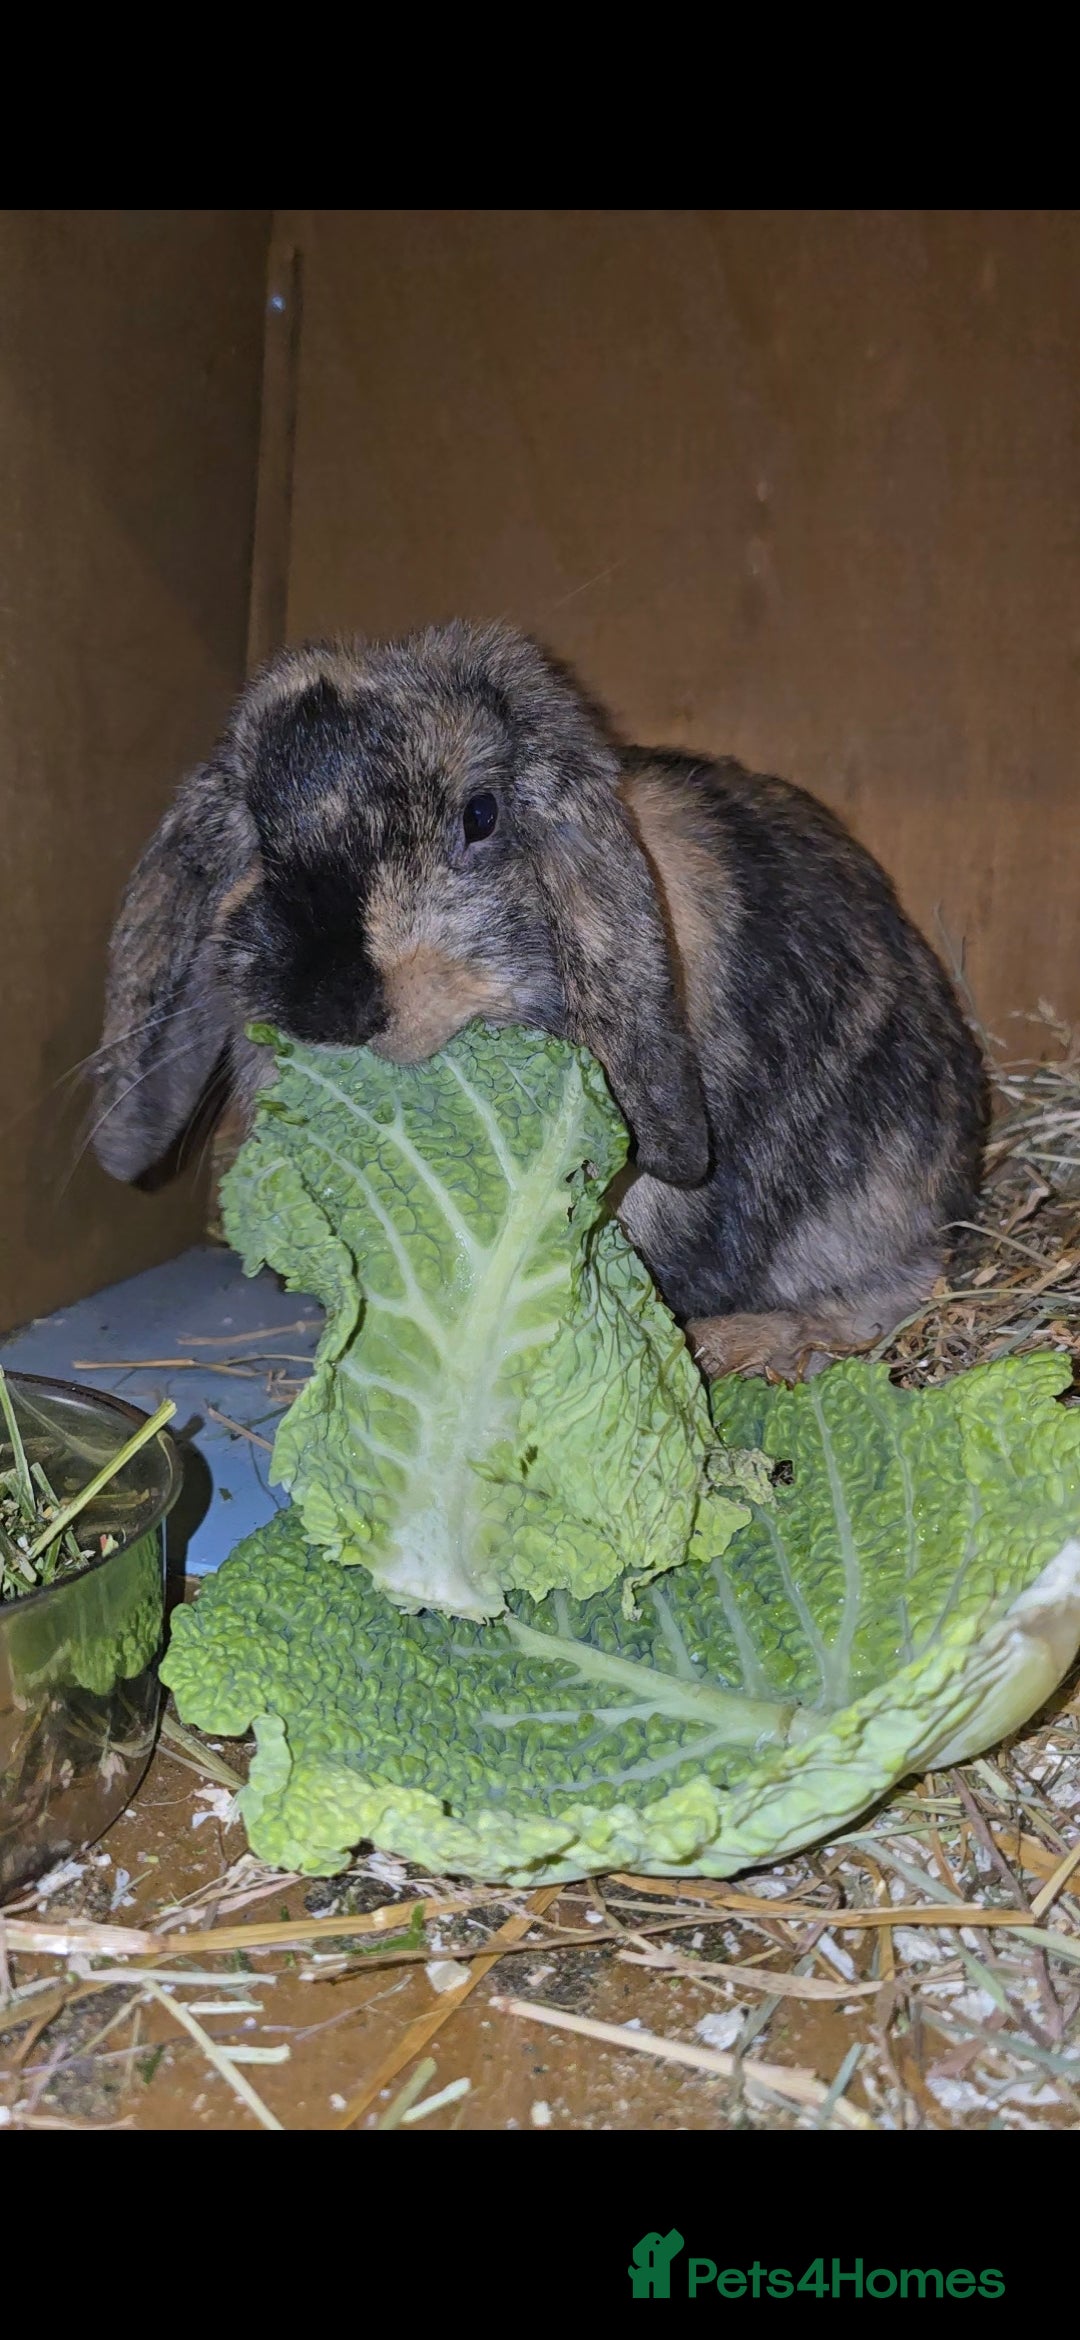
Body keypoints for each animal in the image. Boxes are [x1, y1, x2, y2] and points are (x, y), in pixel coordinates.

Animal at [92, 620, 988, 1379]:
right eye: (257, 830)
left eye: (481, 814)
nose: (329, 1004)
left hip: (871, 1204)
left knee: (899, 1292)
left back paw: (743, 1343)